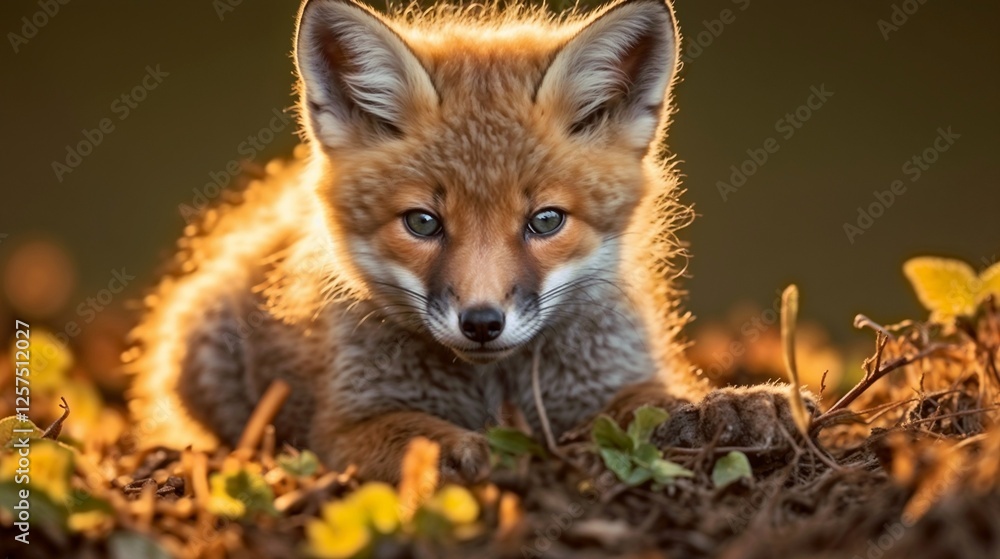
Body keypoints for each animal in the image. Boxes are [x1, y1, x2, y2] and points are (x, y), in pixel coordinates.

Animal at [129, 0, 812, 483]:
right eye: (423, 223)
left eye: (545, 221)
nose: (482, 322)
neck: (495, 389)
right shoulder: (344, 422)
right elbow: (411, 432)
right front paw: (461, 452)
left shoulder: (602, 387)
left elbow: (658, 401)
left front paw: (731, 407)